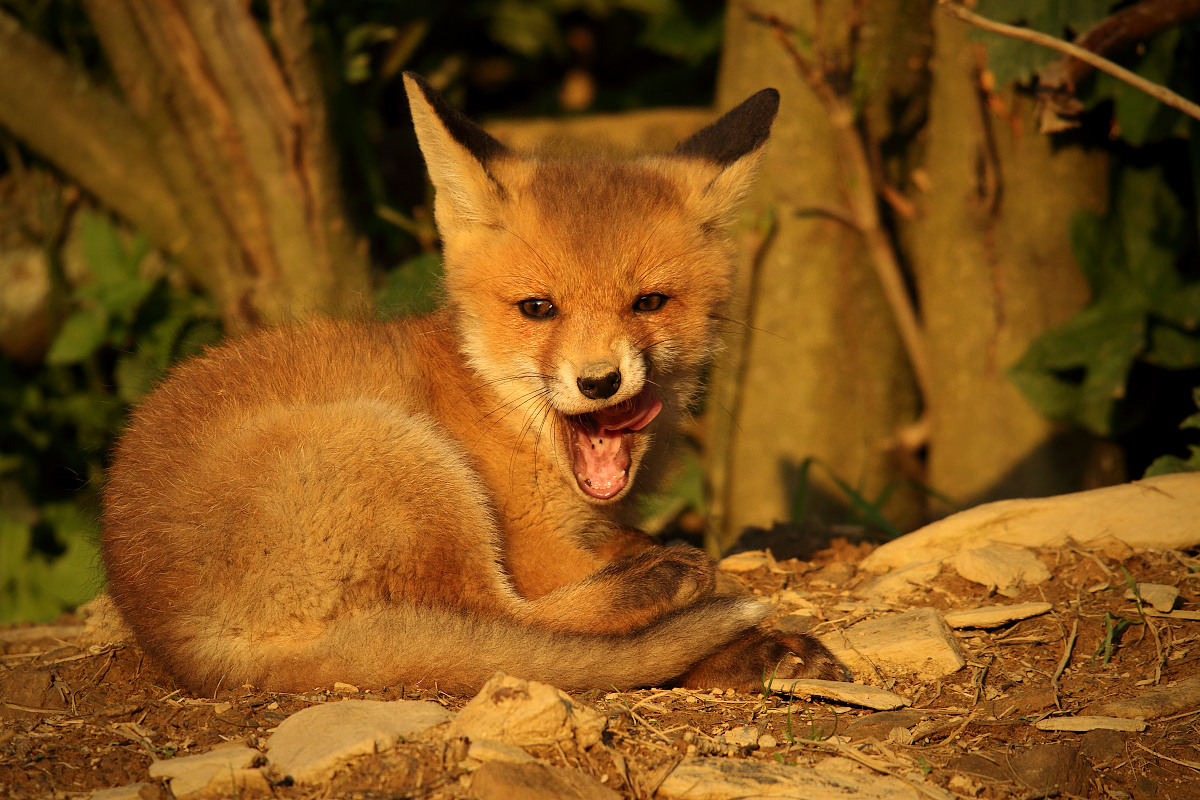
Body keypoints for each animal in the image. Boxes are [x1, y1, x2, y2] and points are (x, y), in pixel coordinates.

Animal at [103, 76, 849, 700]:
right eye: (538, 309)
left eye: (650, 303)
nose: (599, 381)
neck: (499, 414)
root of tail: (176, 639)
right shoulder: (533, 546)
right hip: (405, 461)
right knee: (501, 623)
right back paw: (672, 593)